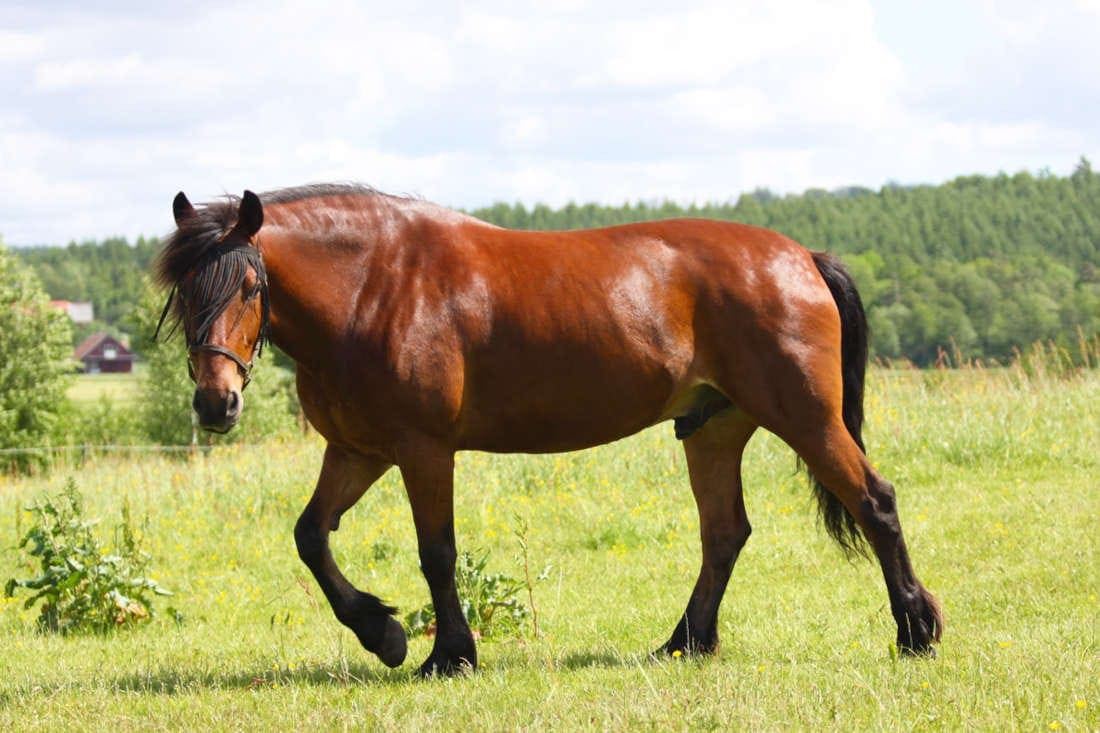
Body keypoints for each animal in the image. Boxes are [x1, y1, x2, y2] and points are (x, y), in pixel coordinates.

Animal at [155, 183, 942, 676]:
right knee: (725, 533)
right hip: (713, 430)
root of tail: (802, 256)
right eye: (183, 294)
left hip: (806, 418)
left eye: (250, 286)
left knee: (874, 501)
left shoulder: (422, 450)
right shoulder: (357, 450)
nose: (216, 404)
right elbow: (311, 537)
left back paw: (916, 630)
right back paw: (684, 643)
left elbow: (436, 551)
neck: (374, 285)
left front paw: (449, 654)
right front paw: (384, 633)